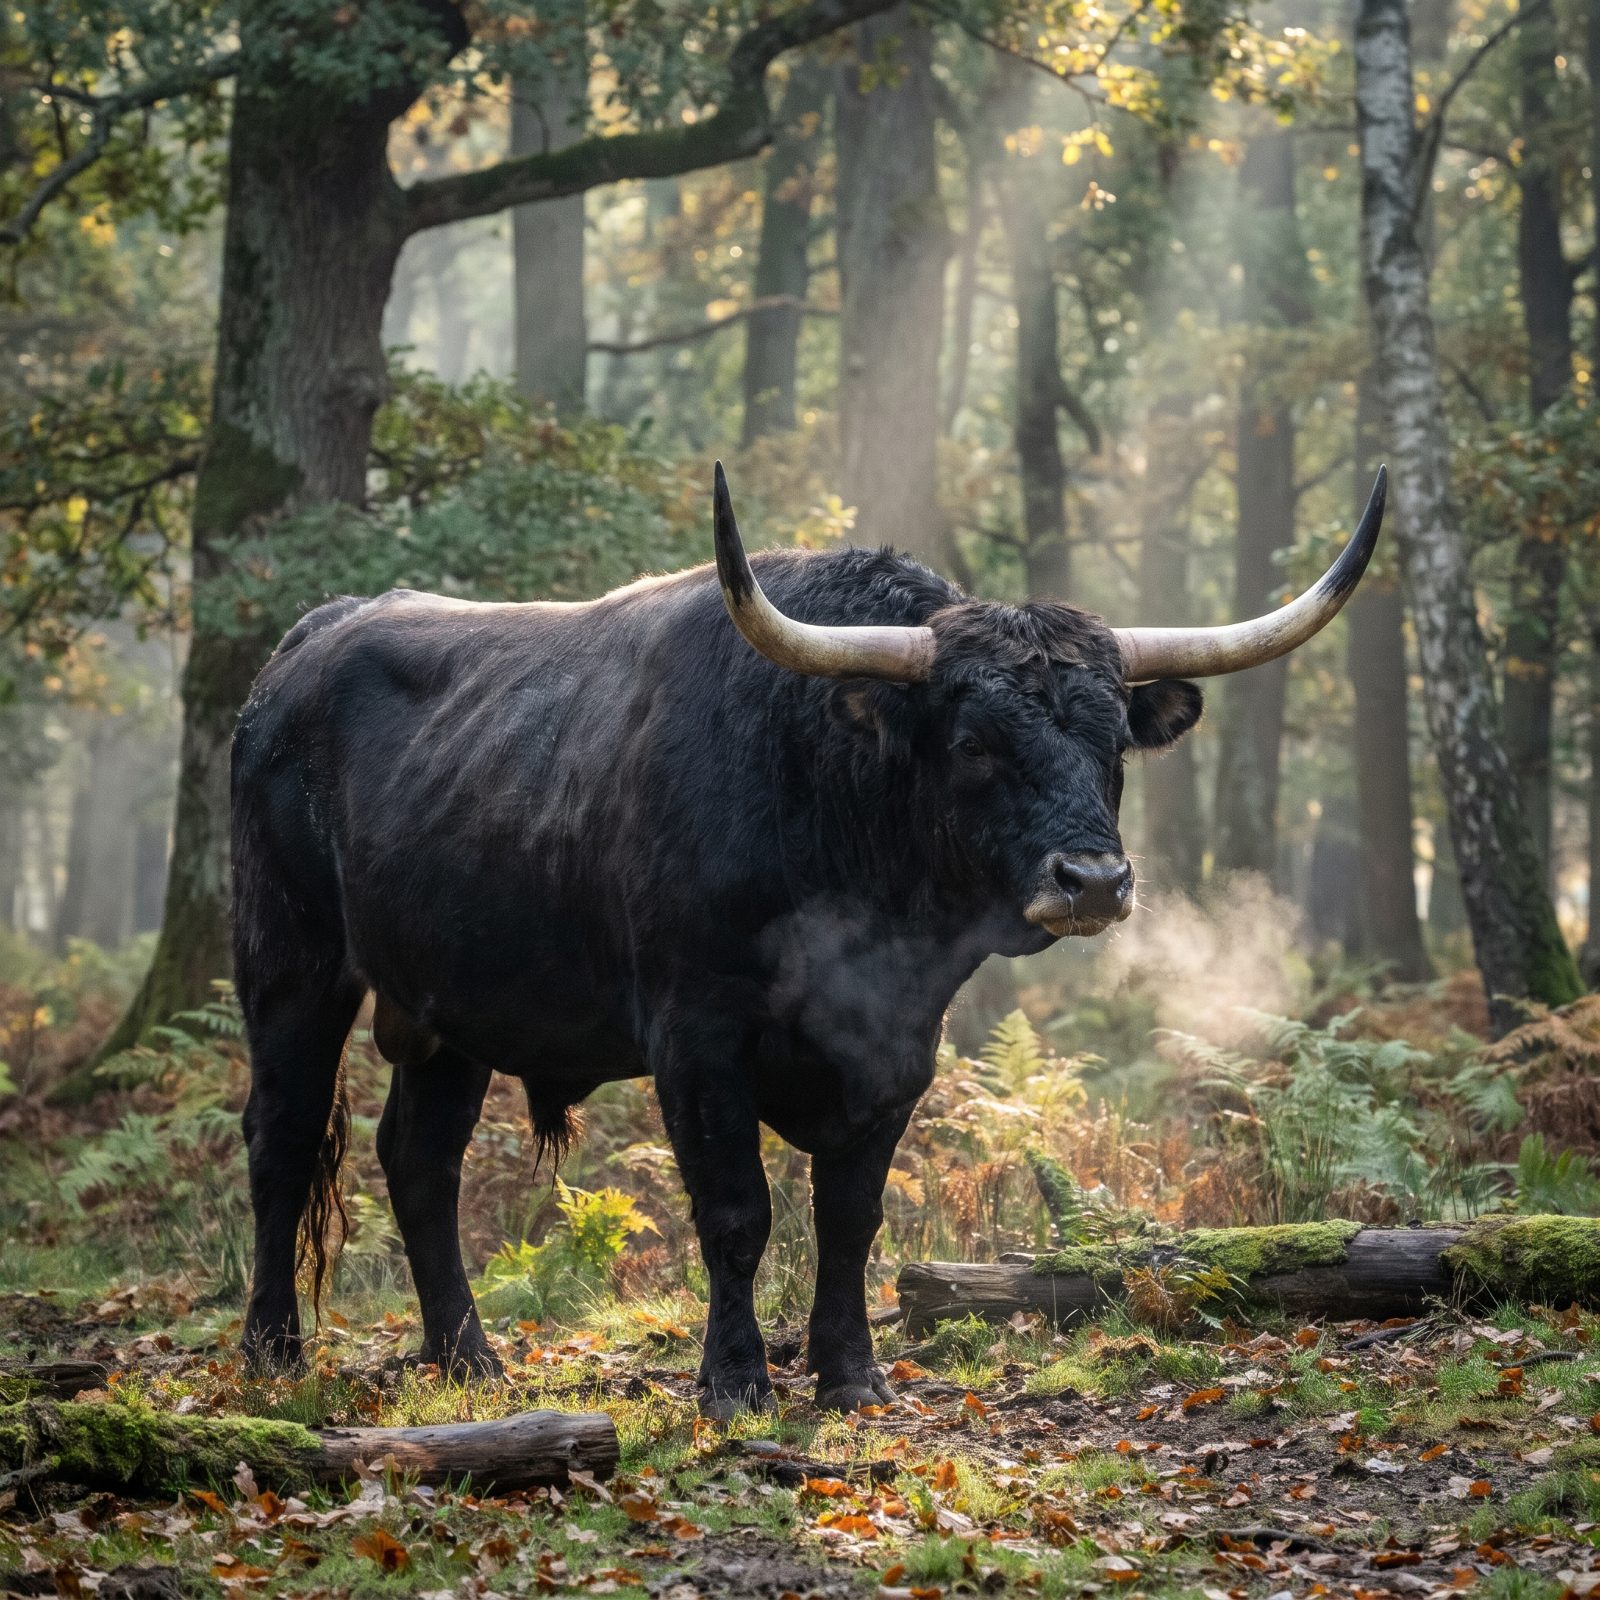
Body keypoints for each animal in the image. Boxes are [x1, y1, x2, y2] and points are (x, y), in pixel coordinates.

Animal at [233, 462, 1386, 1416]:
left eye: (1112, 743)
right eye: (975, 742)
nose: (1093, 881)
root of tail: (307, 645)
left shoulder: (898, 1047)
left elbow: (851, 1215)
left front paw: (851, 1375)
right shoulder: (696, 1036)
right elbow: (737, 1211)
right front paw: (735, 1381)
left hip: (448, 1007)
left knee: (418, 1158)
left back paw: (468, 1357)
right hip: (289, 961)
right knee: (282, 1136)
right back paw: (274, 1349)